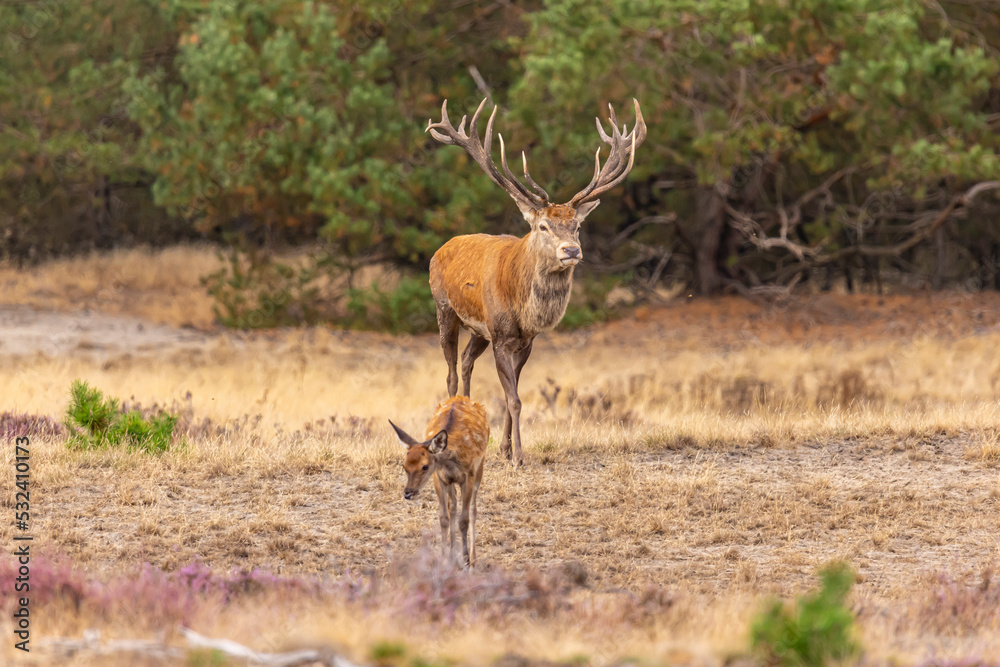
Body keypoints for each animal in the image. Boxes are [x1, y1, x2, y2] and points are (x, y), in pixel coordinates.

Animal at [389, 395, 490, 567]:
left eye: (425, 466)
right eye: (404, 465)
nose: (408, 493)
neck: (451, 461)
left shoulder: (468, 475)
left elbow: (464, 519)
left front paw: (466, 559)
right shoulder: (439, 478)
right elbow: (443, 518)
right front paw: (444, 558)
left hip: (480, 466)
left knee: (473, 509)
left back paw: (473, 558)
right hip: (451, 482)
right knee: (453, 506)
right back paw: (452, 554)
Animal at [425, 97, 646, 467]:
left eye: (577, 225)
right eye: (543, 226)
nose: (571, 250)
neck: (522, 307)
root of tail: (440, 248)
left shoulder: (525, 340)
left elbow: (512, 394)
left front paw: (504, 450)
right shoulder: (501, 336)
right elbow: (513, 398)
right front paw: (518, 456)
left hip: (479, 330)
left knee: (468, 362)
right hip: (445, 308)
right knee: (451, 372)